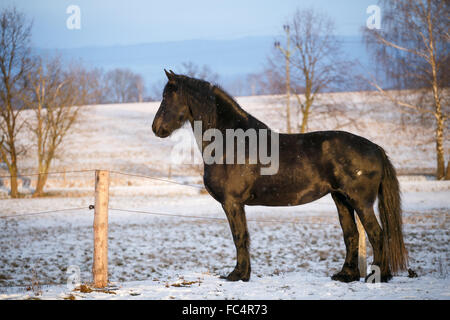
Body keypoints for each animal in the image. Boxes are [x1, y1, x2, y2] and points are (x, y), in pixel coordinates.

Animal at [151, 70, 408, 282]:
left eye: (166, 97)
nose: (156, 128)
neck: (231, 142)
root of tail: (375, 148)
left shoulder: (232, 203)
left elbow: (239, 236)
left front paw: (236, 275)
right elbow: (243, 237)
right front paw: (244, 274)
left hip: (360, 202)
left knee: (377, 235)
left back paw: (376, 277)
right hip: (341, 199)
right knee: (352, 235)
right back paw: (346, 275)